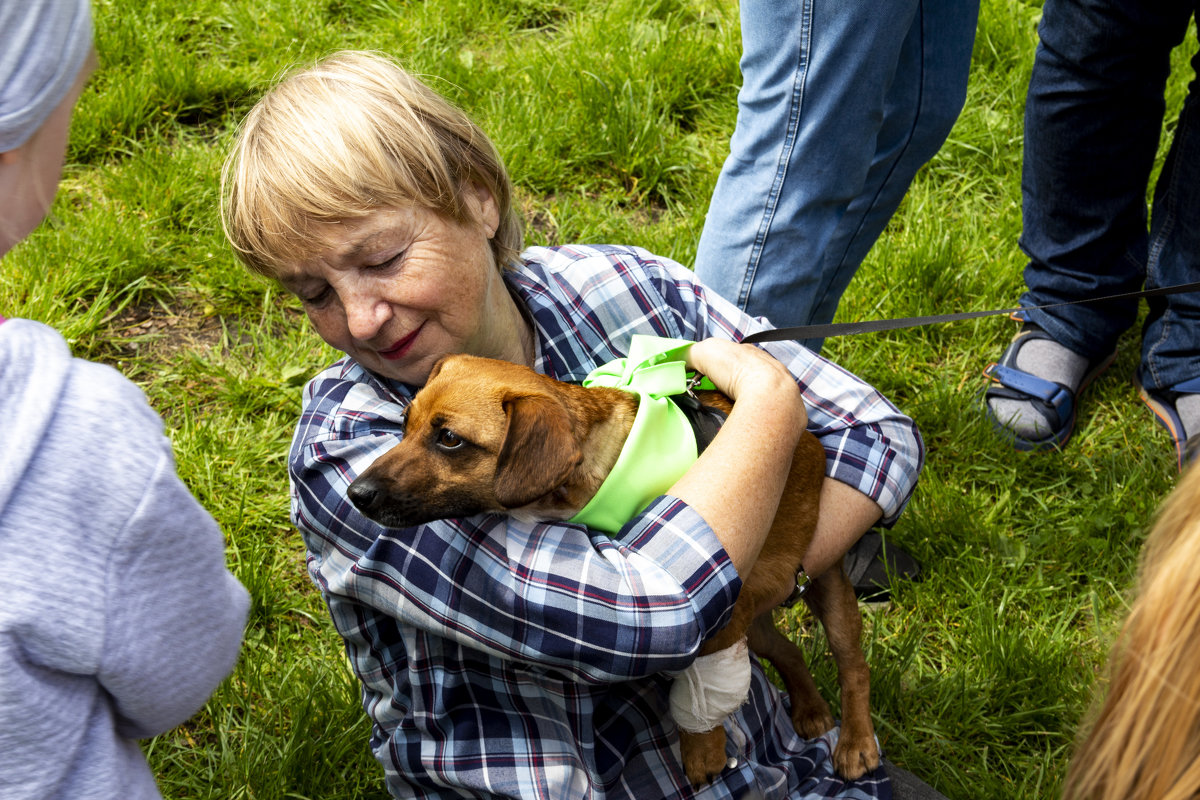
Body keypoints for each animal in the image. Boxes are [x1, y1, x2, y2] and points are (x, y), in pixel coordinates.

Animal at [348, 352, 883, 786]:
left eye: (449, 439)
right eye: (404, 423)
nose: (356, 493)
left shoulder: (720, 615)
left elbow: (700, 685)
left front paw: (702, 749)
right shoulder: (730, 612)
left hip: (825, 596)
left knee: (855, 668)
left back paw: (856, 743)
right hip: (760, 619)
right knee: (789, 651)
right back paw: (811, 709)